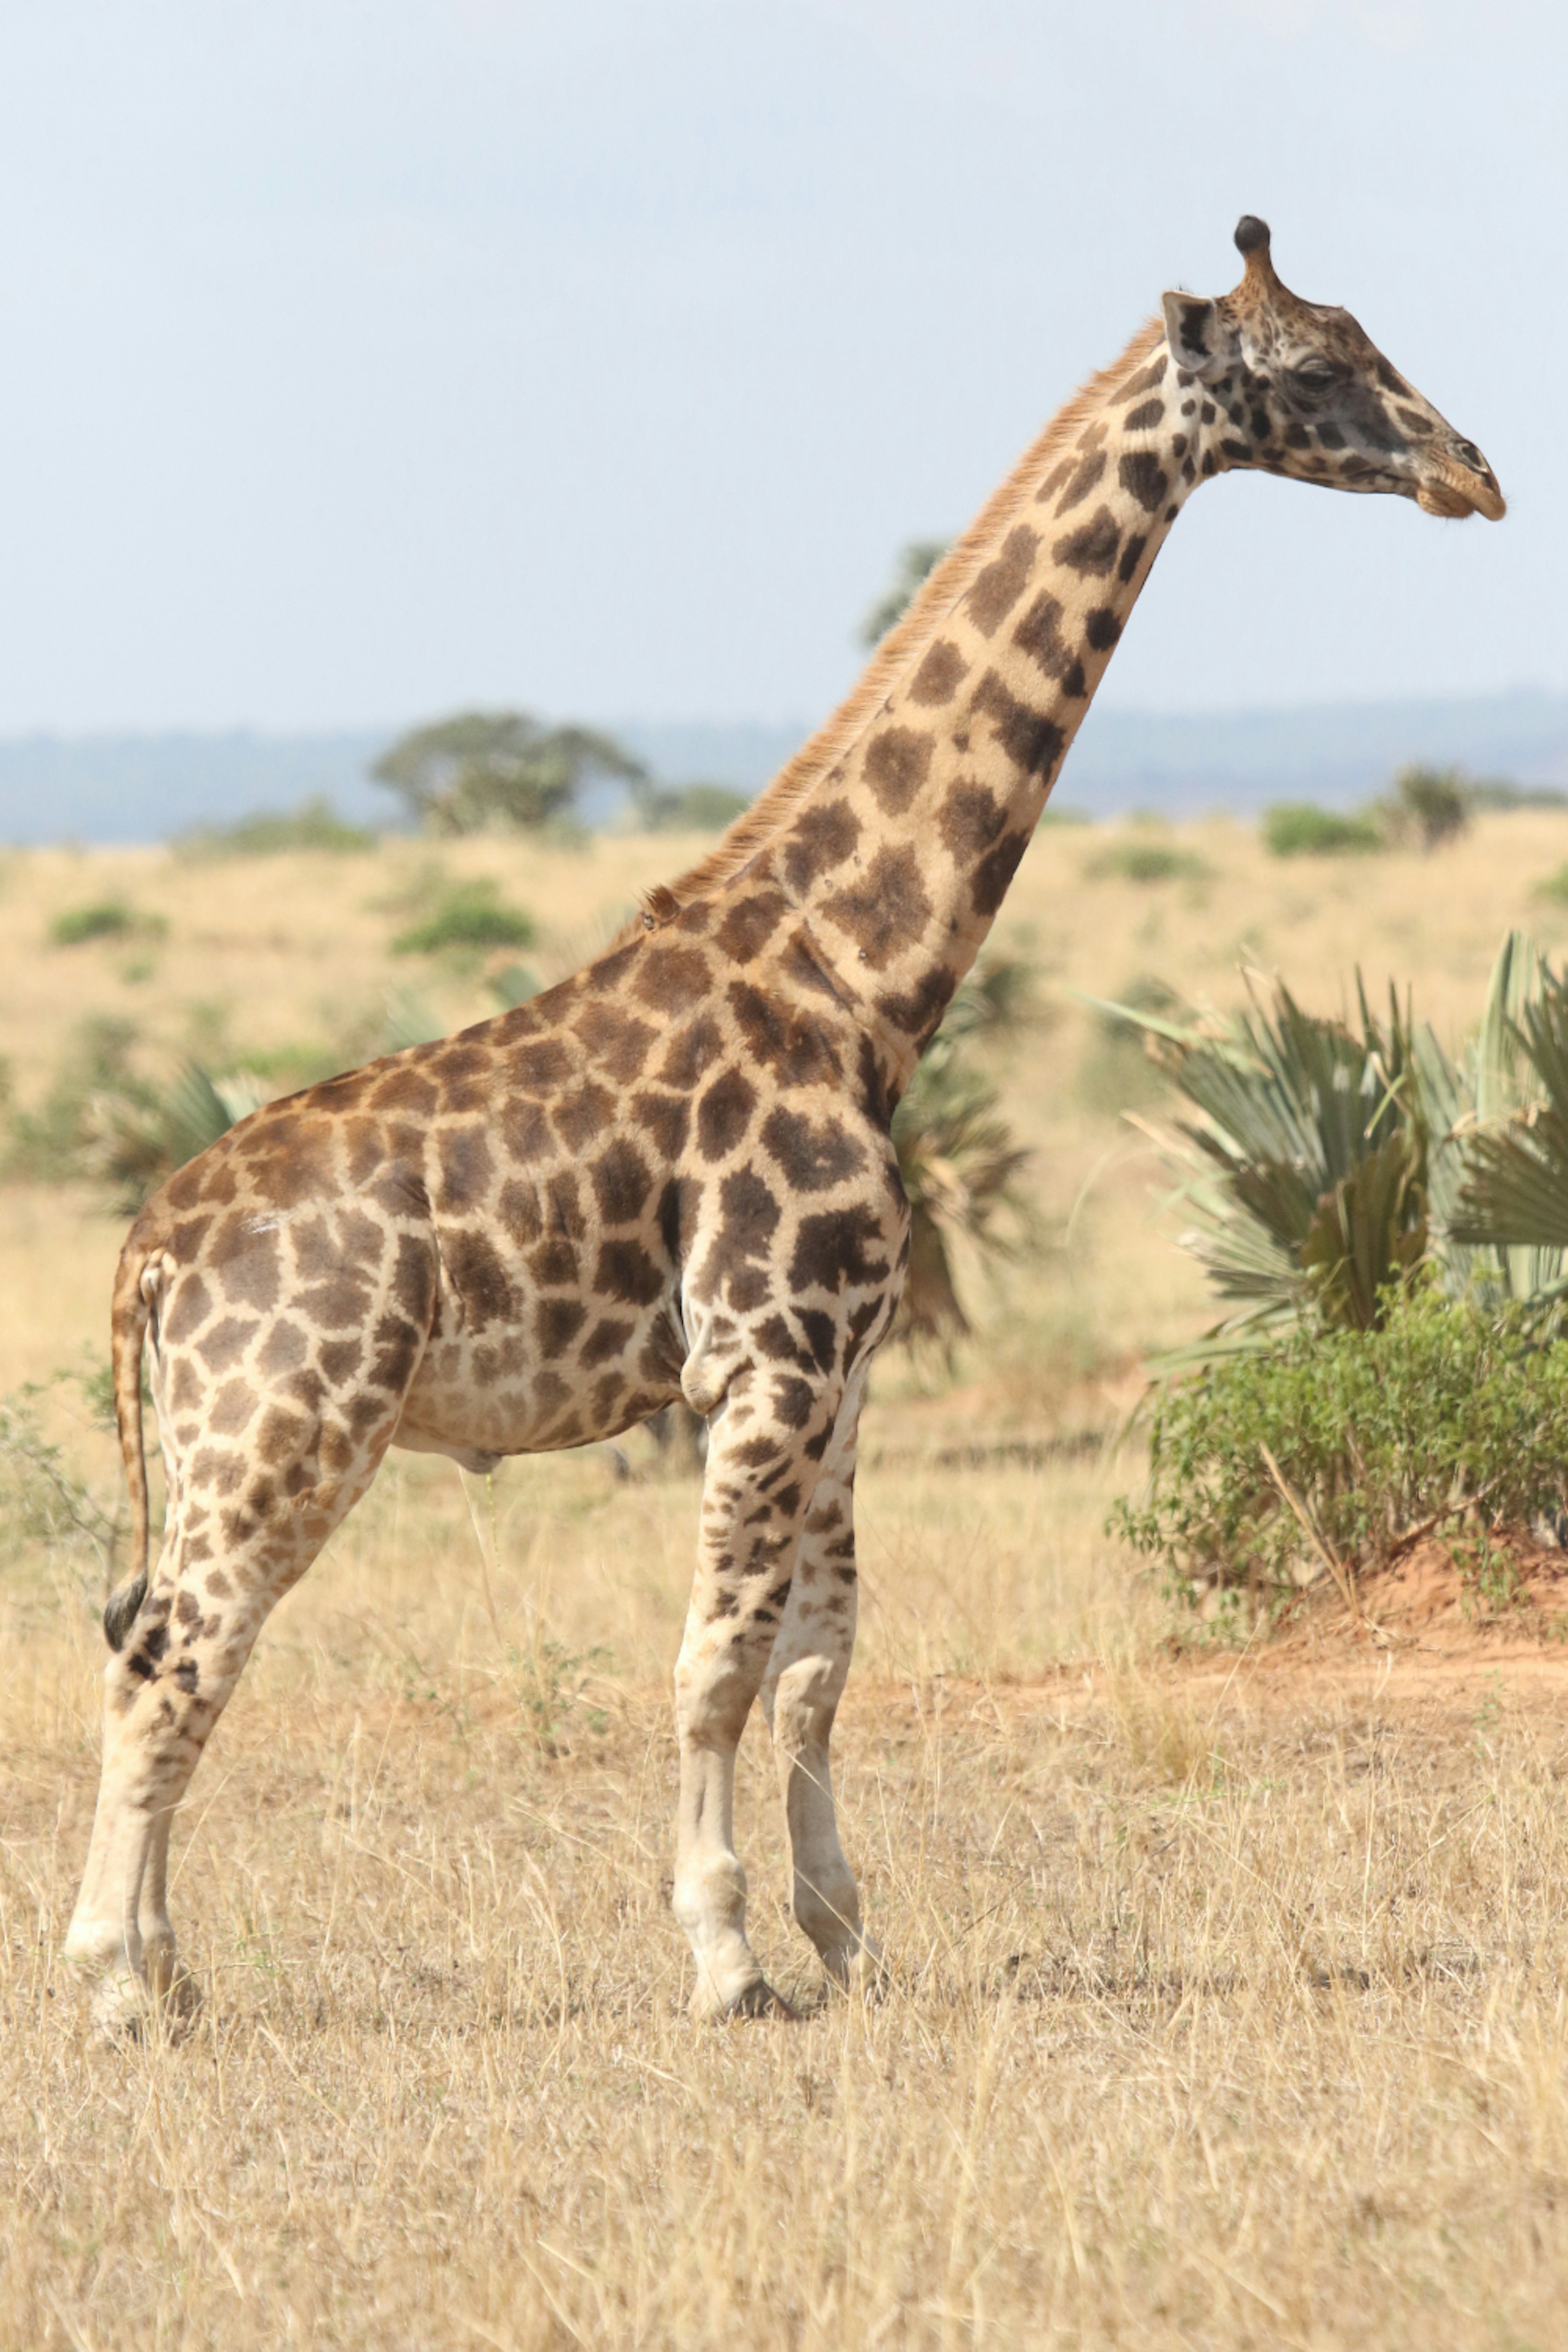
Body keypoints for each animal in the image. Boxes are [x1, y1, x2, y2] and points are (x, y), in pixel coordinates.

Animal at [64, 225, 1504, 2022]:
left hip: (226, 1445)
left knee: (170, 1644)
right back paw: (115, 1983)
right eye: (1313, 367)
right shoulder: (762, 1359)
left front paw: (848, 1937)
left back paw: (171, 1971)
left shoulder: (850, 1367)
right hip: (288, 1428)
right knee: (171, 1654)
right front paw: (729, 1956)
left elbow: (817, 1667)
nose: (1476, 473)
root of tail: (149, 1248)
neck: (863, 983)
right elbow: (713, 1665)